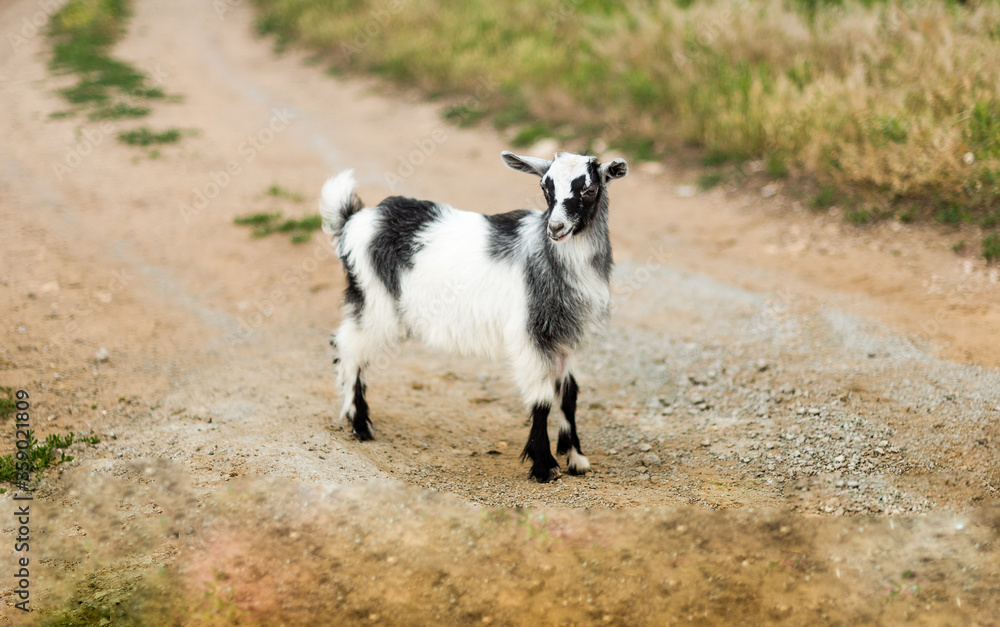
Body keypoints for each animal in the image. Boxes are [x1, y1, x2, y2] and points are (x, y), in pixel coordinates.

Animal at [320, 151, 628, 482]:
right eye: (545, 188)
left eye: (590, 190)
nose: (556, 228)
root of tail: (354, 219)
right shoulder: (529, 334)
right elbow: (543, 398)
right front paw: (544, 466)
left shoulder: (564, 336)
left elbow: (569, 394)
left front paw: (576, 458)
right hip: (375, 301)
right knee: (349, 348)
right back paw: (360, 426)